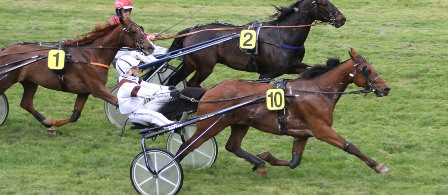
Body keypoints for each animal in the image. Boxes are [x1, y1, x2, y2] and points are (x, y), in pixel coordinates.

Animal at [0, 18, 154, 133]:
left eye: (142, 29)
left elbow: (75, 116)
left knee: (26, 103)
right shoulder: (97, 89)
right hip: (7, 80)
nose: (150, 47)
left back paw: (47, 123)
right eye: (133, 31)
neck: (92, 55)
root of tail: (5, 51)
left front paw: (53, 123)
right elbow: (118, 102)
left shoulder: (84, 91)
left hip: (30, 82)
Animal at [164, 48, 392, 175]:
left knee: (232, 146)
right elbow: (350, 147)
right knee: (186, 147)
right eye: (367, 69)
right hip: (212, 124)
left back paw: (259, 164)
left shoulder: (303, 133)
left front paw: (267, 157)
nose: (385, 88)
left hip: (239, 123)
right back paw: (167, 170)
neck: (317, 91)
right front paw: (379, 166)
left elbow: (294, 161)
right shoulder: (321, 129)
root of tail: (208, 90)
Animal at [167, 0, 346, 87]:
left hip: (190, 64)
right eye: (324, 3)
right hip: (205, 67)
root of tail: (192, 31)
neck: (283, 36)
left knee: (174, 81)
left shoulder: (292, 66)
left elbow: (310, 69)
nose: (341, 18)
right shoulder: (266, 73)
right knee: (192, 84)